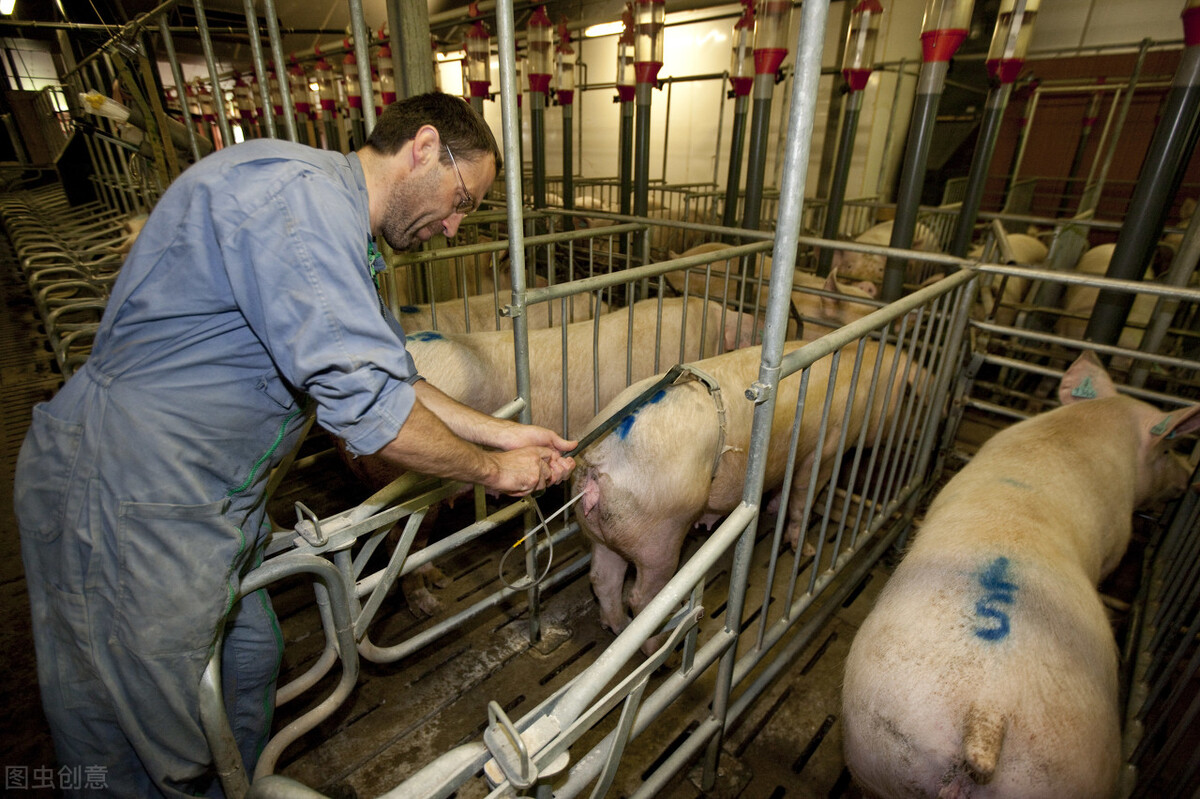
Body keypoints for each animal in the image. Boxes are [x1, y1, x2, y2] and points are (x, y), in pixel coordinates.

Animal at [573, 335, 907, 647]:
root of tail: (599, 459)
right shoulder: (825, 449)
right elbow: (803, 496)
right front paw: (807, 550)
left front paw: (774, 508)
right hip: (659, 535)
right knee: (641, 599)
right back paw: (656, 646)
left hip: (602, 532)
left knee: (602, 579)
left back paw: (617, 627)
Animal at [840, 350, 1200, 796]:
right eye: (1170, 450)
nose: (1188, 479)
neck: (1092, 422)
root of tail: (986, 717)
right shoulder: (1117, 537)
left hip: (878, 747)